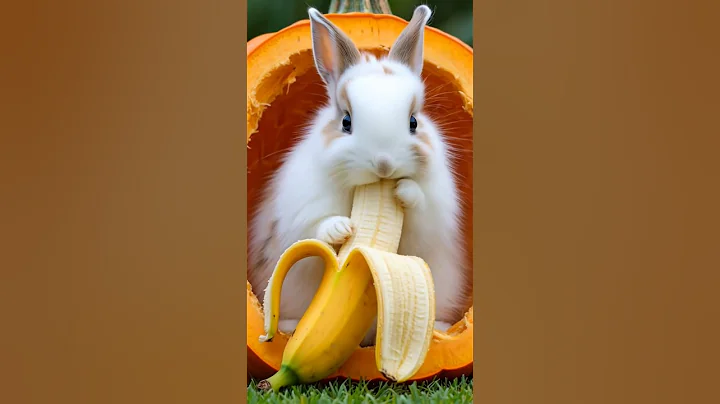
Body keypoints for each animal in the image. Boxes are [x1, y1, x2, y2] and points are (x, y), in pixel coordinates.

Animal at [248, 5, 468, 347]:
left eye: (414, 122)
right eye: (346, 122)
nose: (384, 164)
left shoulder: (433, 216)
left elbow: (419, 215)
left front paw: (404, 192)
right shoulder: (301, 211)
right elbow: (315, 228)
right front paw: (341, 228)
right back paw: (289, 326)